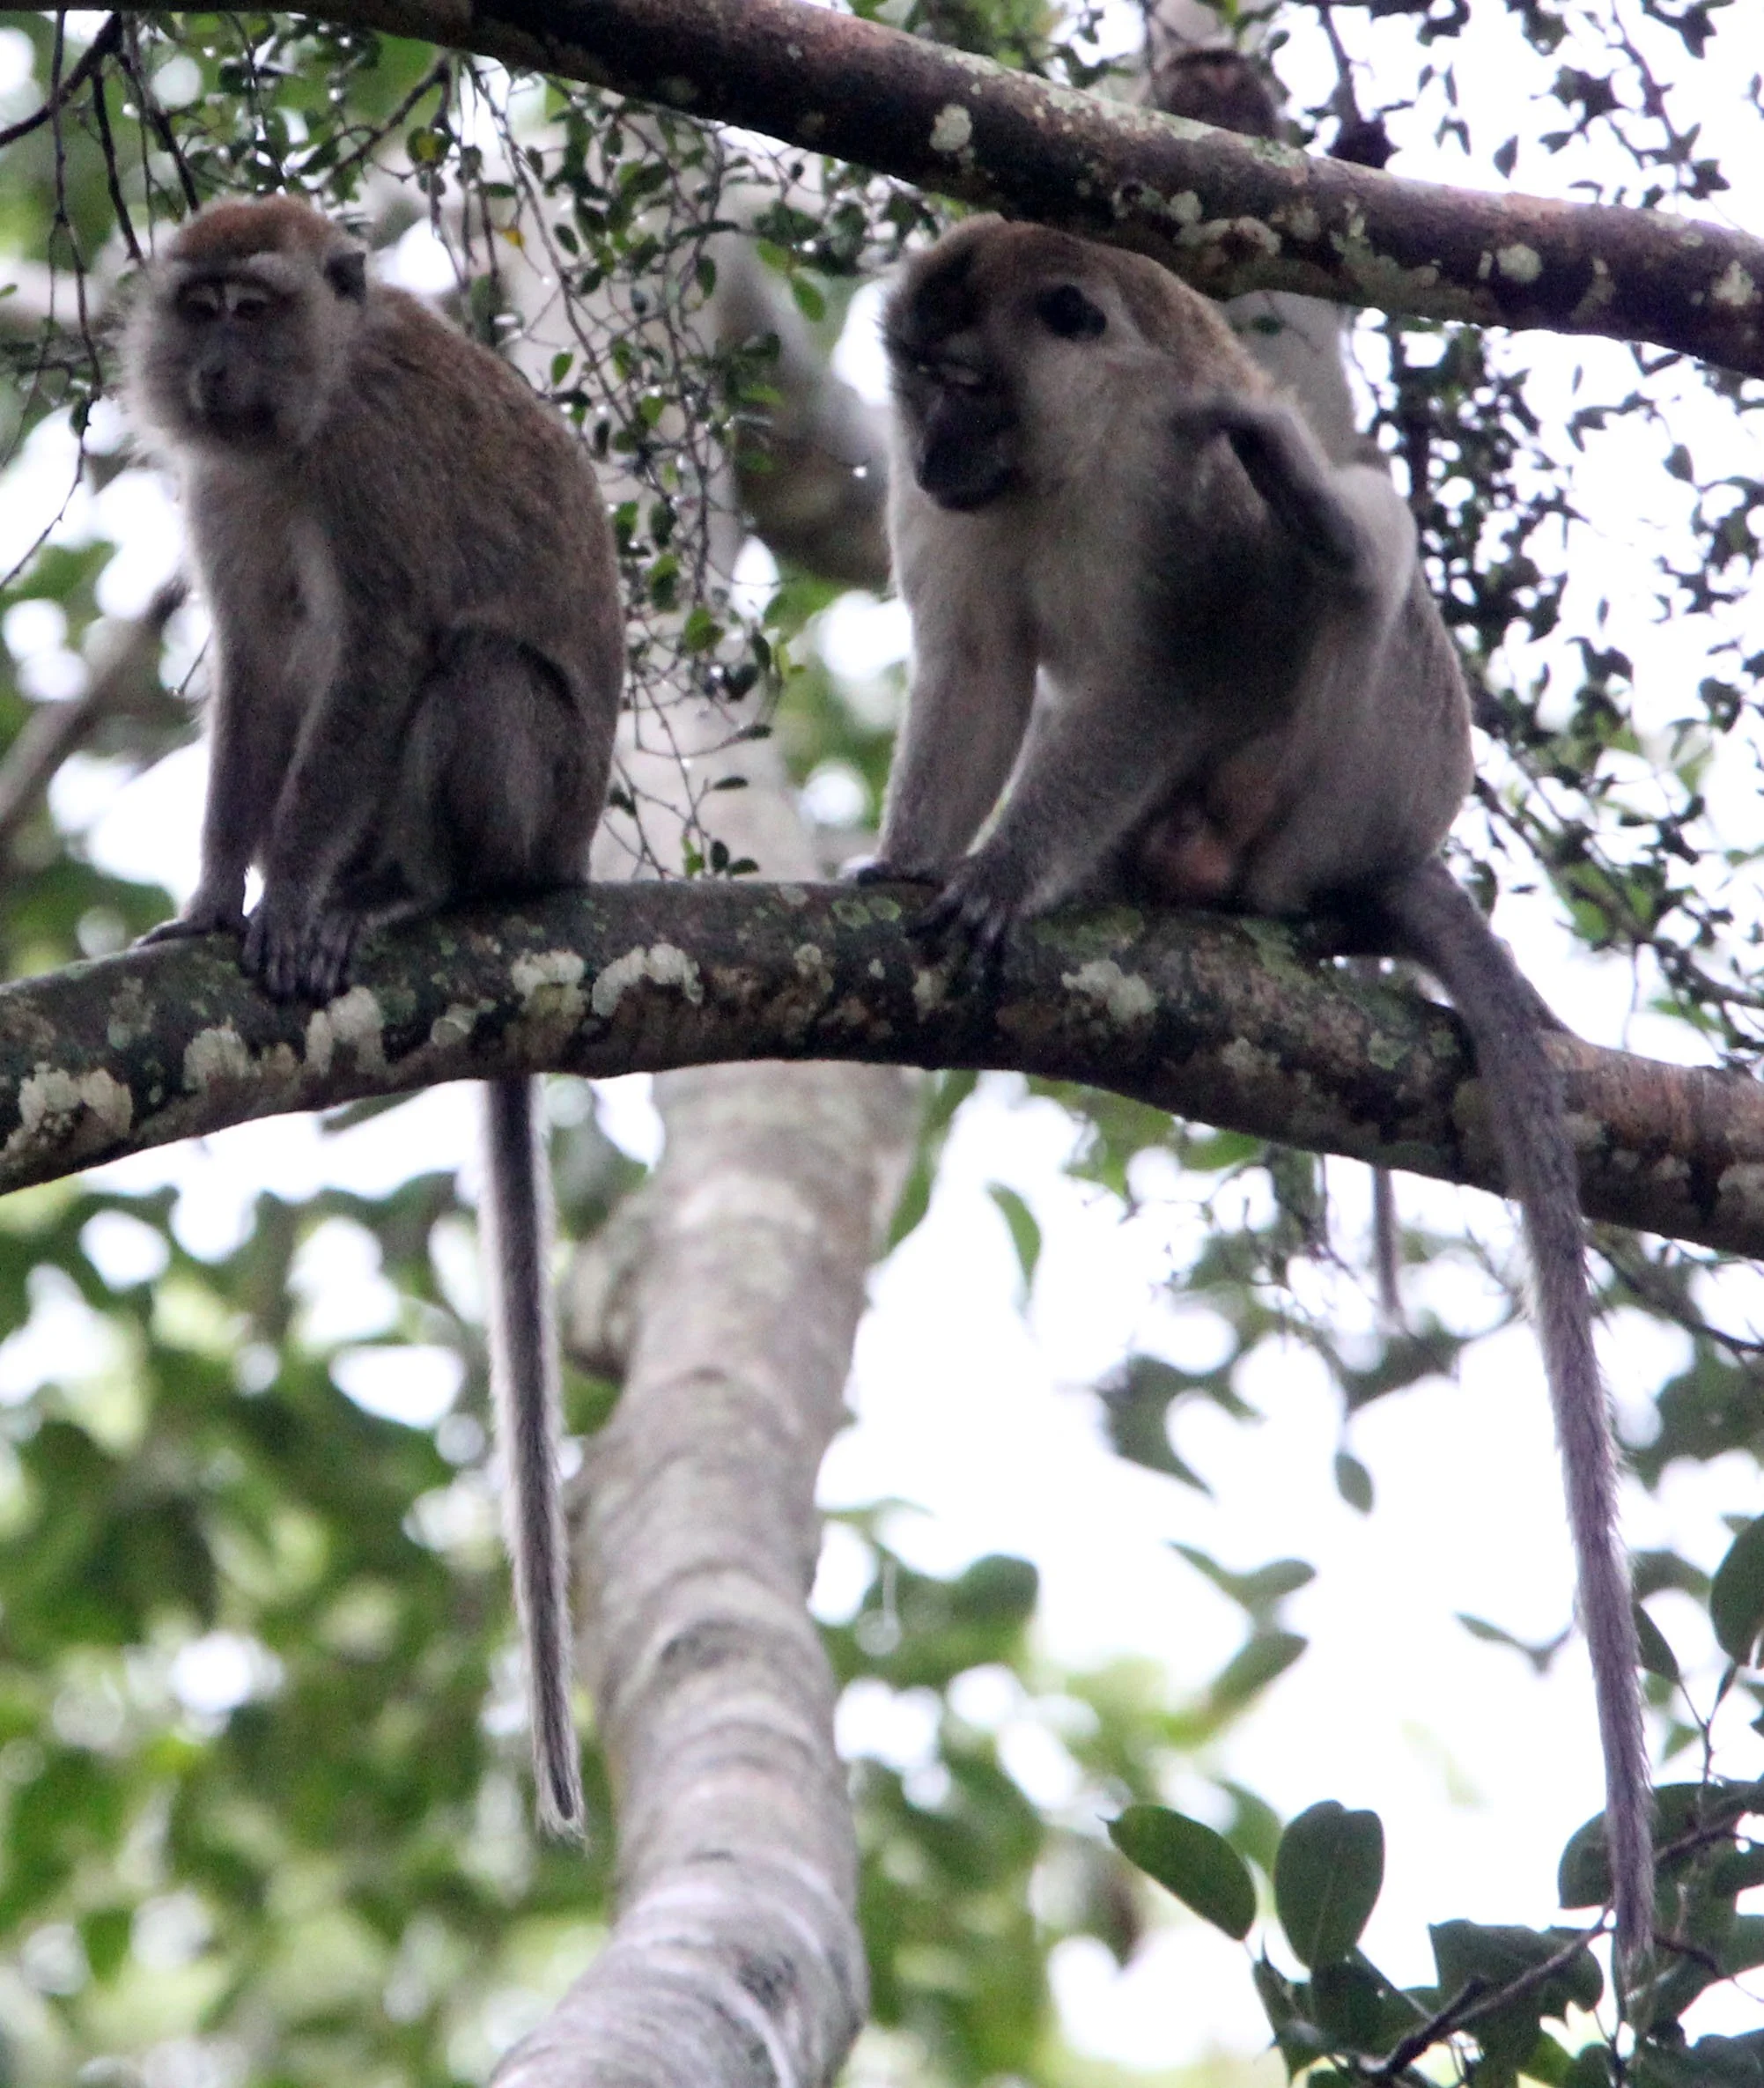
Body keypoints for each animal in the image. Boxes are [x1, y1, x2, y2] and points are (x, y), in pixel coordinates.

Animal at [123, 195, 624, 1840]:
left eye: (257, 307)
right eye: (200, 306)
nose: (217, 369)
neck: (312, 404)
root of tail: (569, 857)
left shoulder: (369, 471)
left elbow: (377, 655)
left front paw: (288, 896)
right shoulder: (231, 490)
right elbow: (261, 673)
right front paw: (215, 892)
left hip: (528, 798)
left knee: (469, 674)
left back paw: (403, 895)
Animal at [859, 216, 1654, 1972]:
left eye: (962, 383)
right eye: (913, 383)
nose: (931, 451)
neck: (1065, 450)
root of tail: (1387, 853)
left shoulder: (1176, 496)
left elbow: (1173, 674)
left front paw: (1001, 876)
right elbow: (970, 669)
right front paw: (902, 865)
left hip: (1356, 783)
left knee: (1345, 603)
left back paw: (1319, 559)